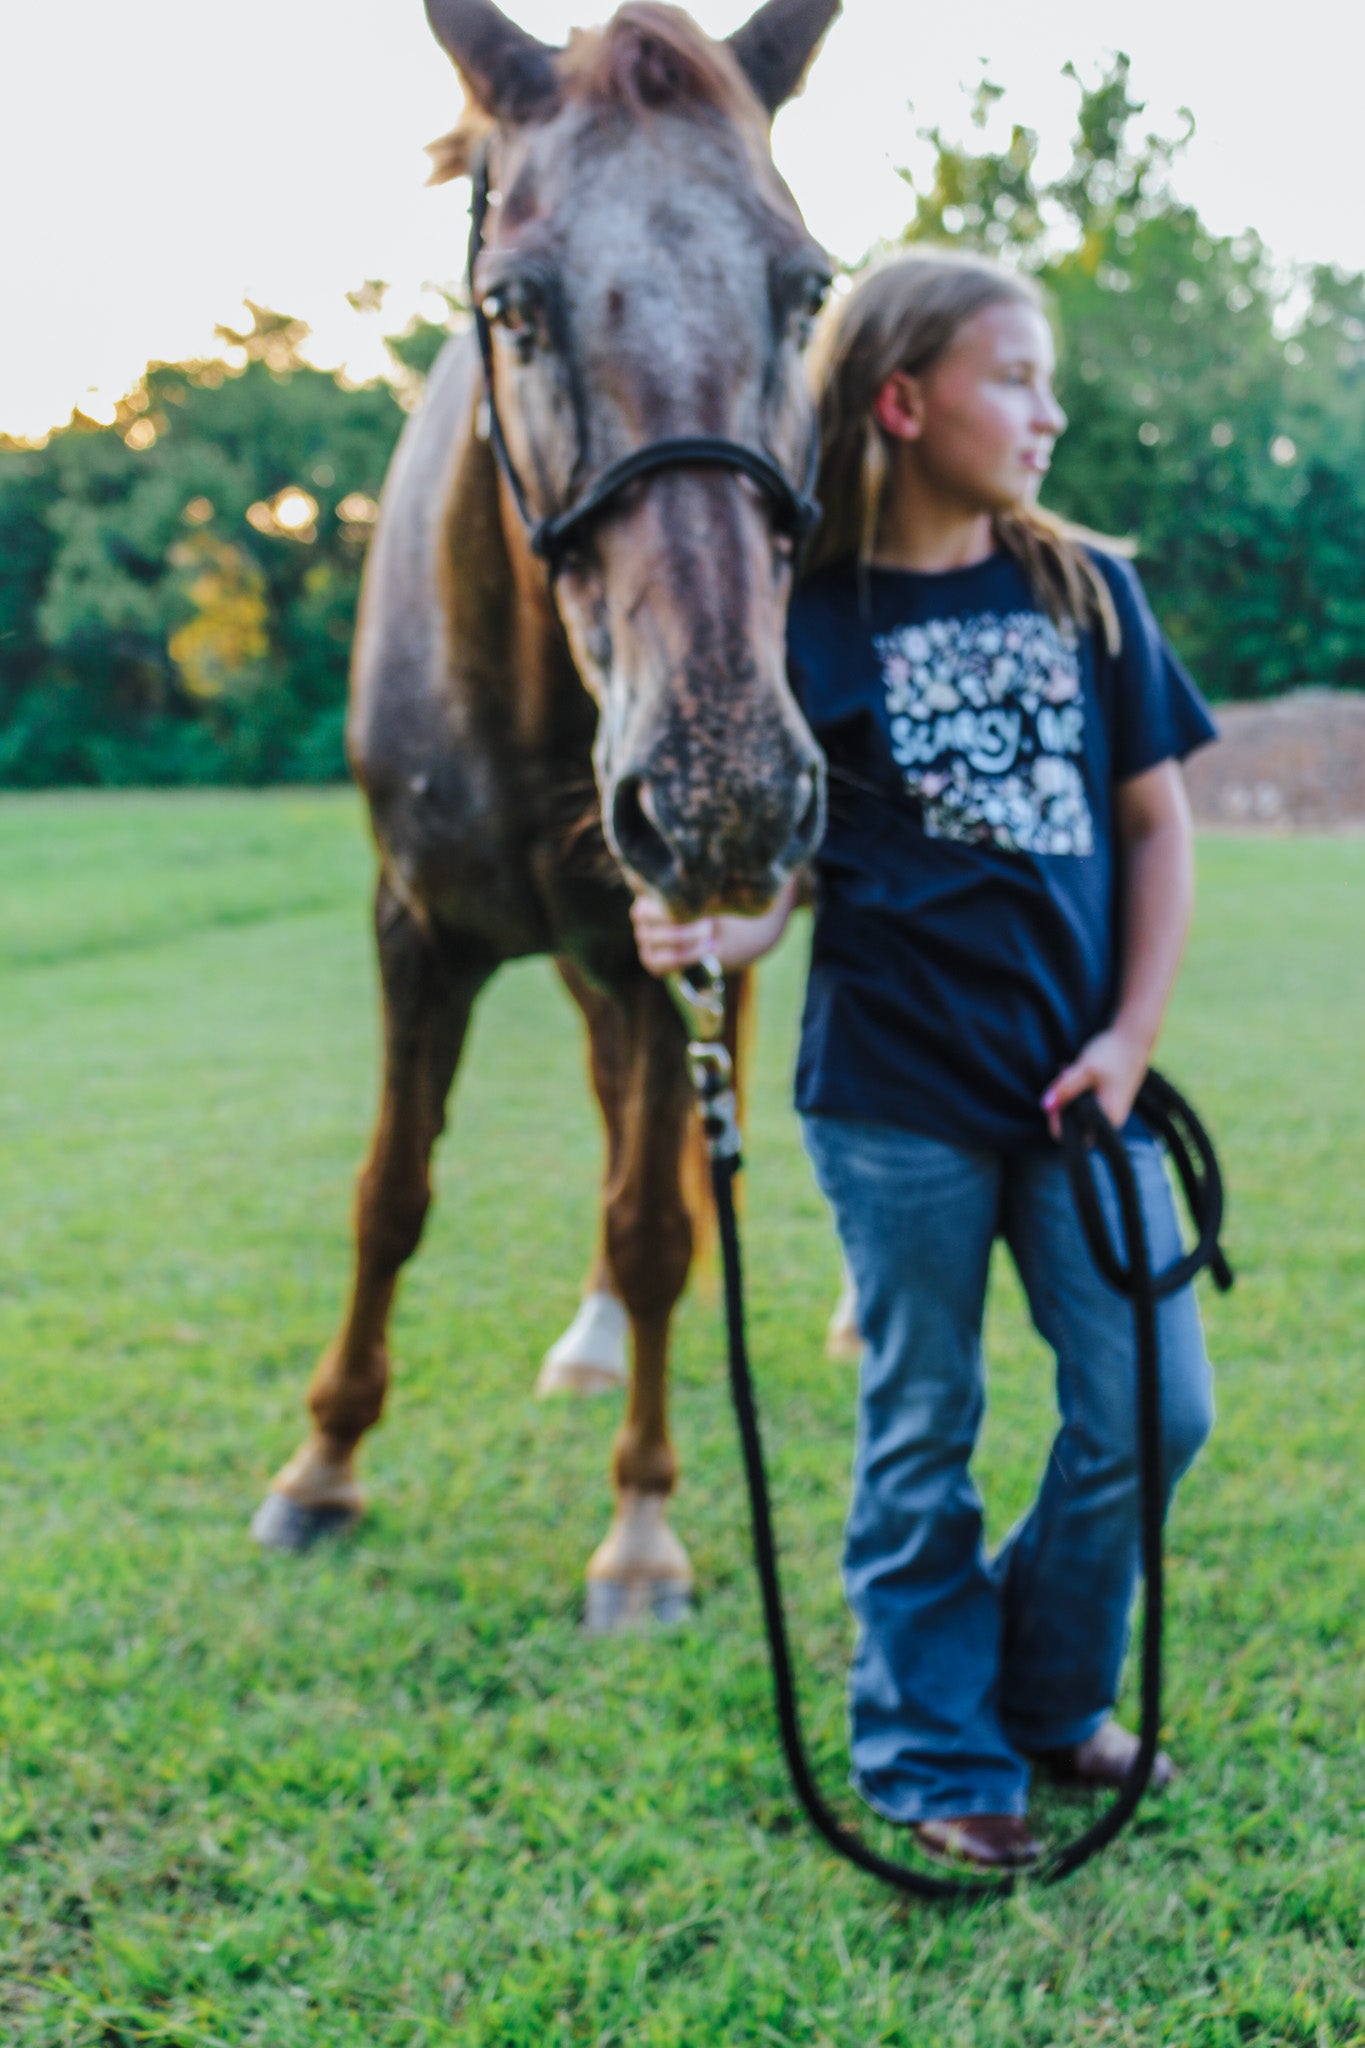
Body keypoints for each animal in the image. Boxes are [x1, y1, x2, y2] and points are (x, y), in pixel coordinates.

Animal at [249, 0, 839, 1630]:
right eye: (511, 304)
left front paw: (640, 1526)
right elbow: (392, 1192)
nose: (721, 787)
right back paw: (588, 1342)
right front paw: (324, 1463)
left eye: (808, 288)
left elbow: (652, 1226)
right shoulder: (418, 931)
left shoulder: (655, 941)